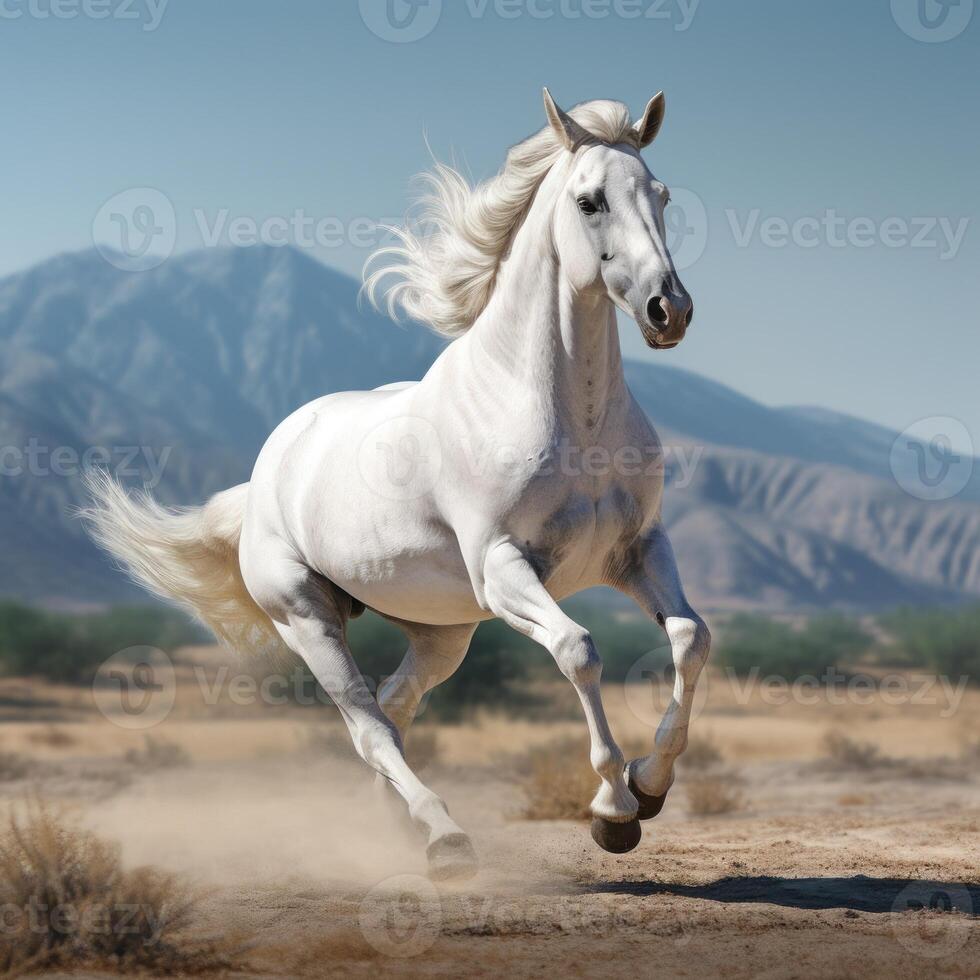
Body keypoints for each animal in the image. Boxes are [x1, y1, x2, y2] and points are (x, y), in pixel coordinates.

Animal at [84, 92, 708, 880]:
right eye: (588, 200)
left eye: (661, 195)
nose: (669, 311)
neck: (570, 415)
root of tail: (262, 480)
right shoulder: (504, 568)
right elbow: (579, 650)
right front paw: (613, 811)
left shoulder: (638, 552)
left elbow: (690, 639)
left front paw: (650, 787)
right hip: (308, 617)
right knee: (368, 725)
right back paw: (444, 841)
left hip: (442, 633)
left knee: (393, 706)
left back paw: (406, 825)